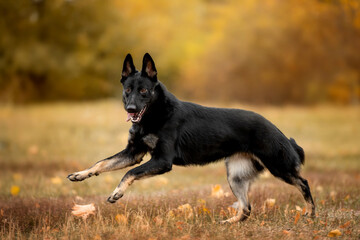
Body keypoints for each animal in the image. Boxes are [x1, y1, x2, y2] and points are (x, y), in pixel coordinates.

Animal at [67, 52, 316, 223]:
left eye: (144, 91)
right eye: (127, 90)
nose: (130, 109)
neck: (156, 114)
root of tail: (279, 132)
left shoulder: (161, 161)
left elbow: (129, 173)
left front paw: (117, 192)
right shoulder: (133, 153)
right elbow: (102, 163)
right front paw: (81, 174)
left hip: (278, 166)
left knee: (303, 183)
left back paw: (311, 214)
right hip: (235, 176)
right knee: (246, 209)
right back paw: (228, 223)